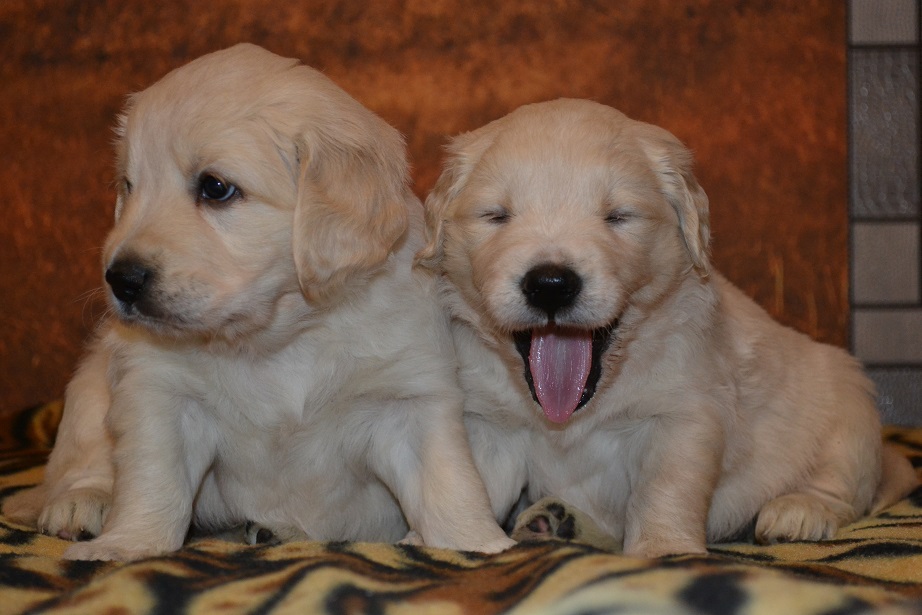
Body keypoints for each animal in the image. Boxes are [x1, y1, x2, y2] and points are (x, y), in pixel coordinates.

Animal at [1, 43, 510, 560]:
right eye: (128, 185)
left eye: (215, 187)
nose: (120, 279)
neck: (277, 336)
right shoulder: (159, 395)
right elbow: (152, 483)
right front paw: (125, 545)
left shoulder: (408, 401)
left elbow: (447, 483)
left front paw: (475, 543)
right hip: (94, 378)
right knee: (75, 460)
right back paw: (81, 502)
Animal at [418, 98, 912, 560]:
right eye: (496, 215)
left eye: (618, 216)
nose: (551, 285)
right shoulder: (490, 425)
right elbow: (471, 484)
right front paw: (448, 538)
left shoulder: (684, 417)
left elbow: (664, 491)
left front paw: (664, 550)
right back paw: (557, 522)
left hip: (849, 409)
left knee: (842, 486)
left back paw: (799, 511)